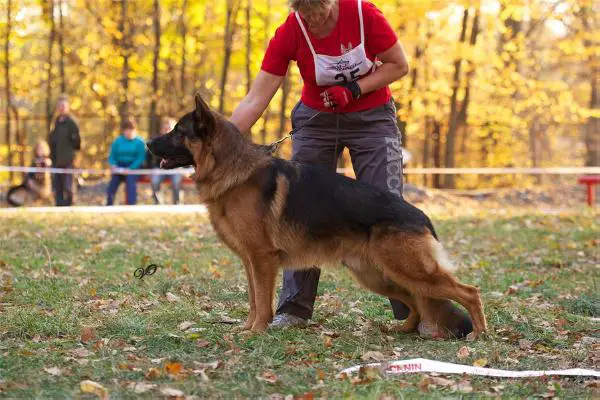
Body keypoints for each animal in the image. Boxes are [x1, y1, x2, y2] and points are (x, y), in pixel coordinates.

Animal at [149, 95, 488, 340]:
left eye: (178, 131)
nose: (148, 143)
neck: (232, 169)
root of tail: (422, 217)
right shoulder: (250, 261)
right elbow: (253, 299)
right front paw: (247, 327)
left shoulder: (262, 259)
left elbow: (262, 302)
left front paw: (256, 332)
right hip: (378, 275)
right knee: (414, 300)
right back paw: (403, 329)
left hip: (408, 270)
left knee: (469, 292)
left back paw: (479, 334)